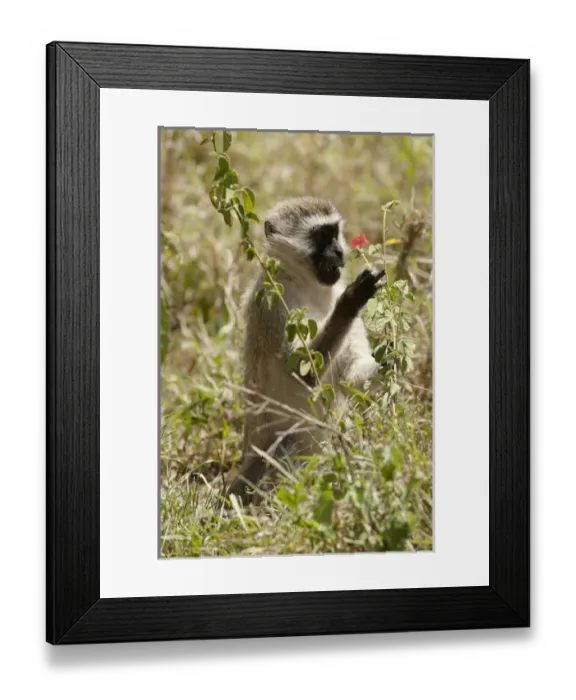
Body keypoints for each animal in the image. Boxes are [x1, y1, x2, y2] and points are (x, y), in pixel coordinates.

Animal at [227, 196, 386, 502]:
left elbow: (350, 373)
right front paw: (352, 299)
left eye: (334, 233)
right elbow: (303, 374)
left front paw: (390, 359)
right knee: (286, 448)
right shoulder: (273, 302)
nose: (339, 251)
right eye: (321, 236)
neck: (308, 285)